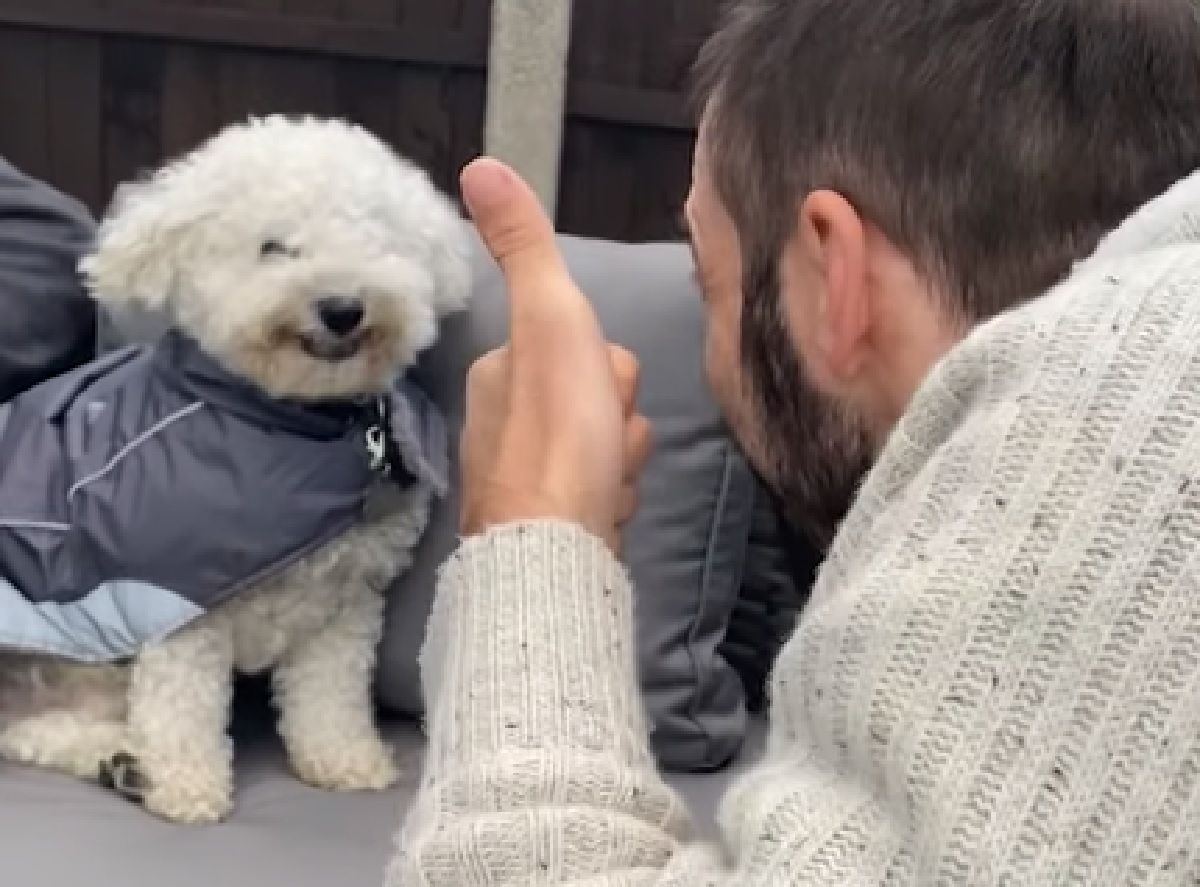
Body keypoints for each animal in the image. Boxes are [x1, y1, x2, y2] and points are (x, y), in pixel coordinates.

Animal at [0, 116, 470, 825]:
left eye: (374, 237)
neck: (286, 425)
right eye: (272, 246)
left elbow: (330, 696)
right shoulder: (176, 598)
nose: (343, 307)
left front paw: (343, 760)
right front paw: (188, 786)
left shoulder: (344, 605)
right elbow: (183, 704)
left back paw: (120, 761)